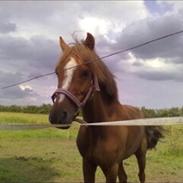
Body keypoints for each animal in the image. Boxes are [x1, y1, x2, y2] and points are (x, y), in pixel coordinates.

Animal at [49, 33, 163, 183]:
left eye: (85, 72)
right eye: (57, 72)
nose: (57, 115)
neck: (101, 128)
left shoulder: (111, 167)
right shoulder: (88, 164)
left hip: (141, 154)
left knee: (141, 175)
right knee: (124, 177)